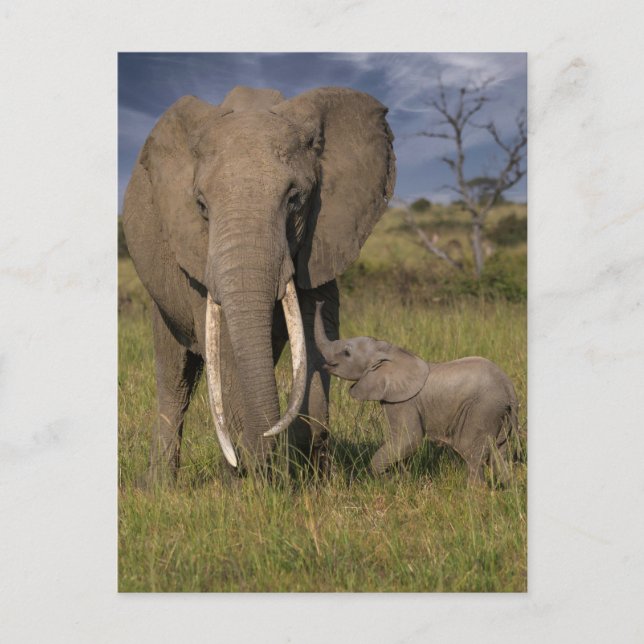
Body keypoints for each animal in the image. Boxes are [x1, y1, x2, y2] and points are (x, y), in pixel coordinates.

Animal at [122, 85, 396, 482]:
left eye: (295, 199)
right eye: (201, 206)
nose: (264, 451)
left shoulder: (322, 238)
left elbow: (316, 335)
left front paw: (312, 478)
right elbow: (224, 349)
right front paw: (249, 482)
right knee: (175, 378)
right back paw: (162, 486)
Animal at [314, 302, 517, 484]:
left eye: (346, 353)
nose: (319, 301)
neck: (390, 352)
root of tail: (509, 387)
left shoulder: (403, 402)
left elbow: (408, 439)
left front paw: (386, 480)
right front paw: (400, 479)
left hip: (483, 409)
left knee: (472, 452)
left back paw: (474, 493)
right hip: (500, 414)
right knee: (499, 452)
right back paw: (505, 488)